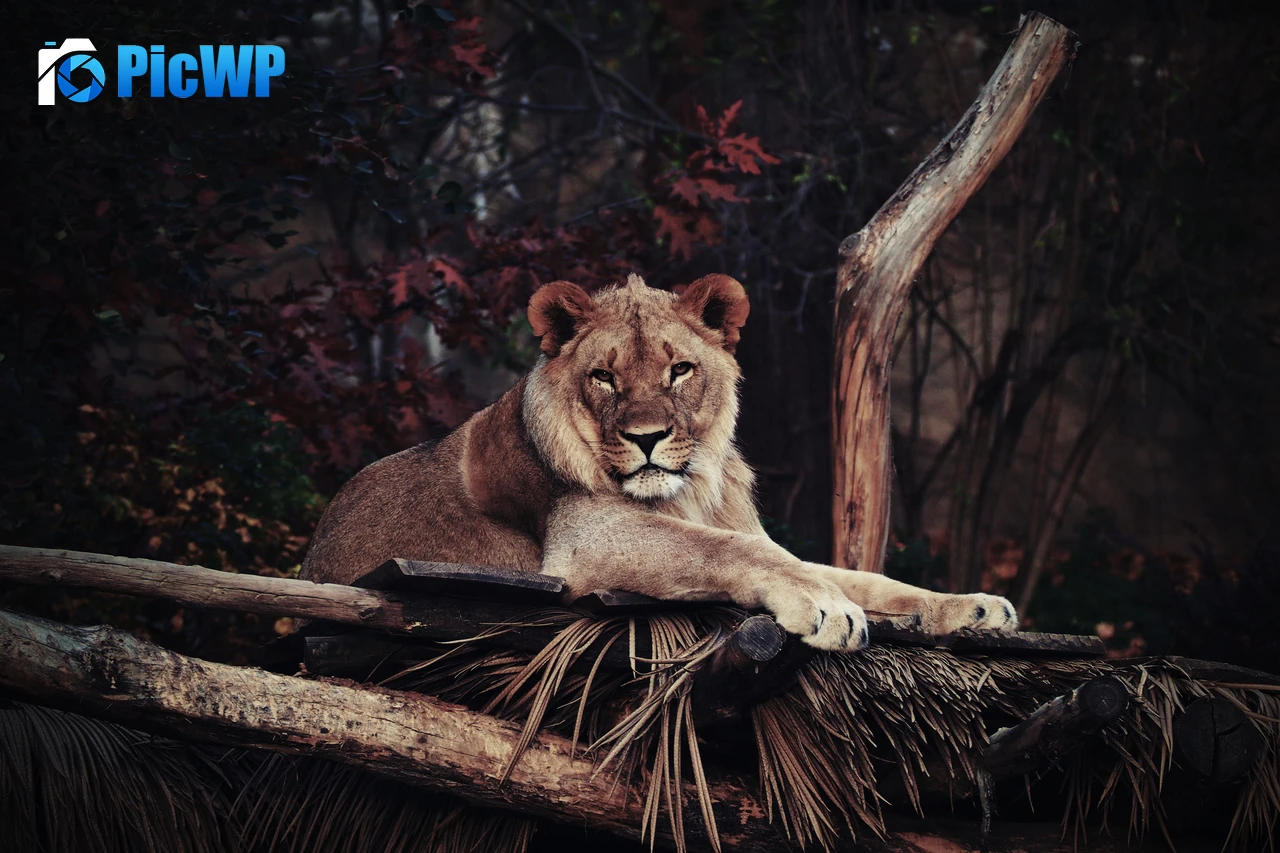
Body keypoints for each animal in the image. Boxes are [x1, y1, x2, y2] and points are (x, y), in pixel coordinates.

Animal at [300, 273, 1016, 650]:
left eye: (680, 370)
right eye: (604, 378)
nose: (646, 437)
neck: (688, 492)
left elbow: (862, 577)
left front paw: (971, 607)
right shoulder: (585, 540)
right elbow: (732, 552)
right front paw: (823, 606)